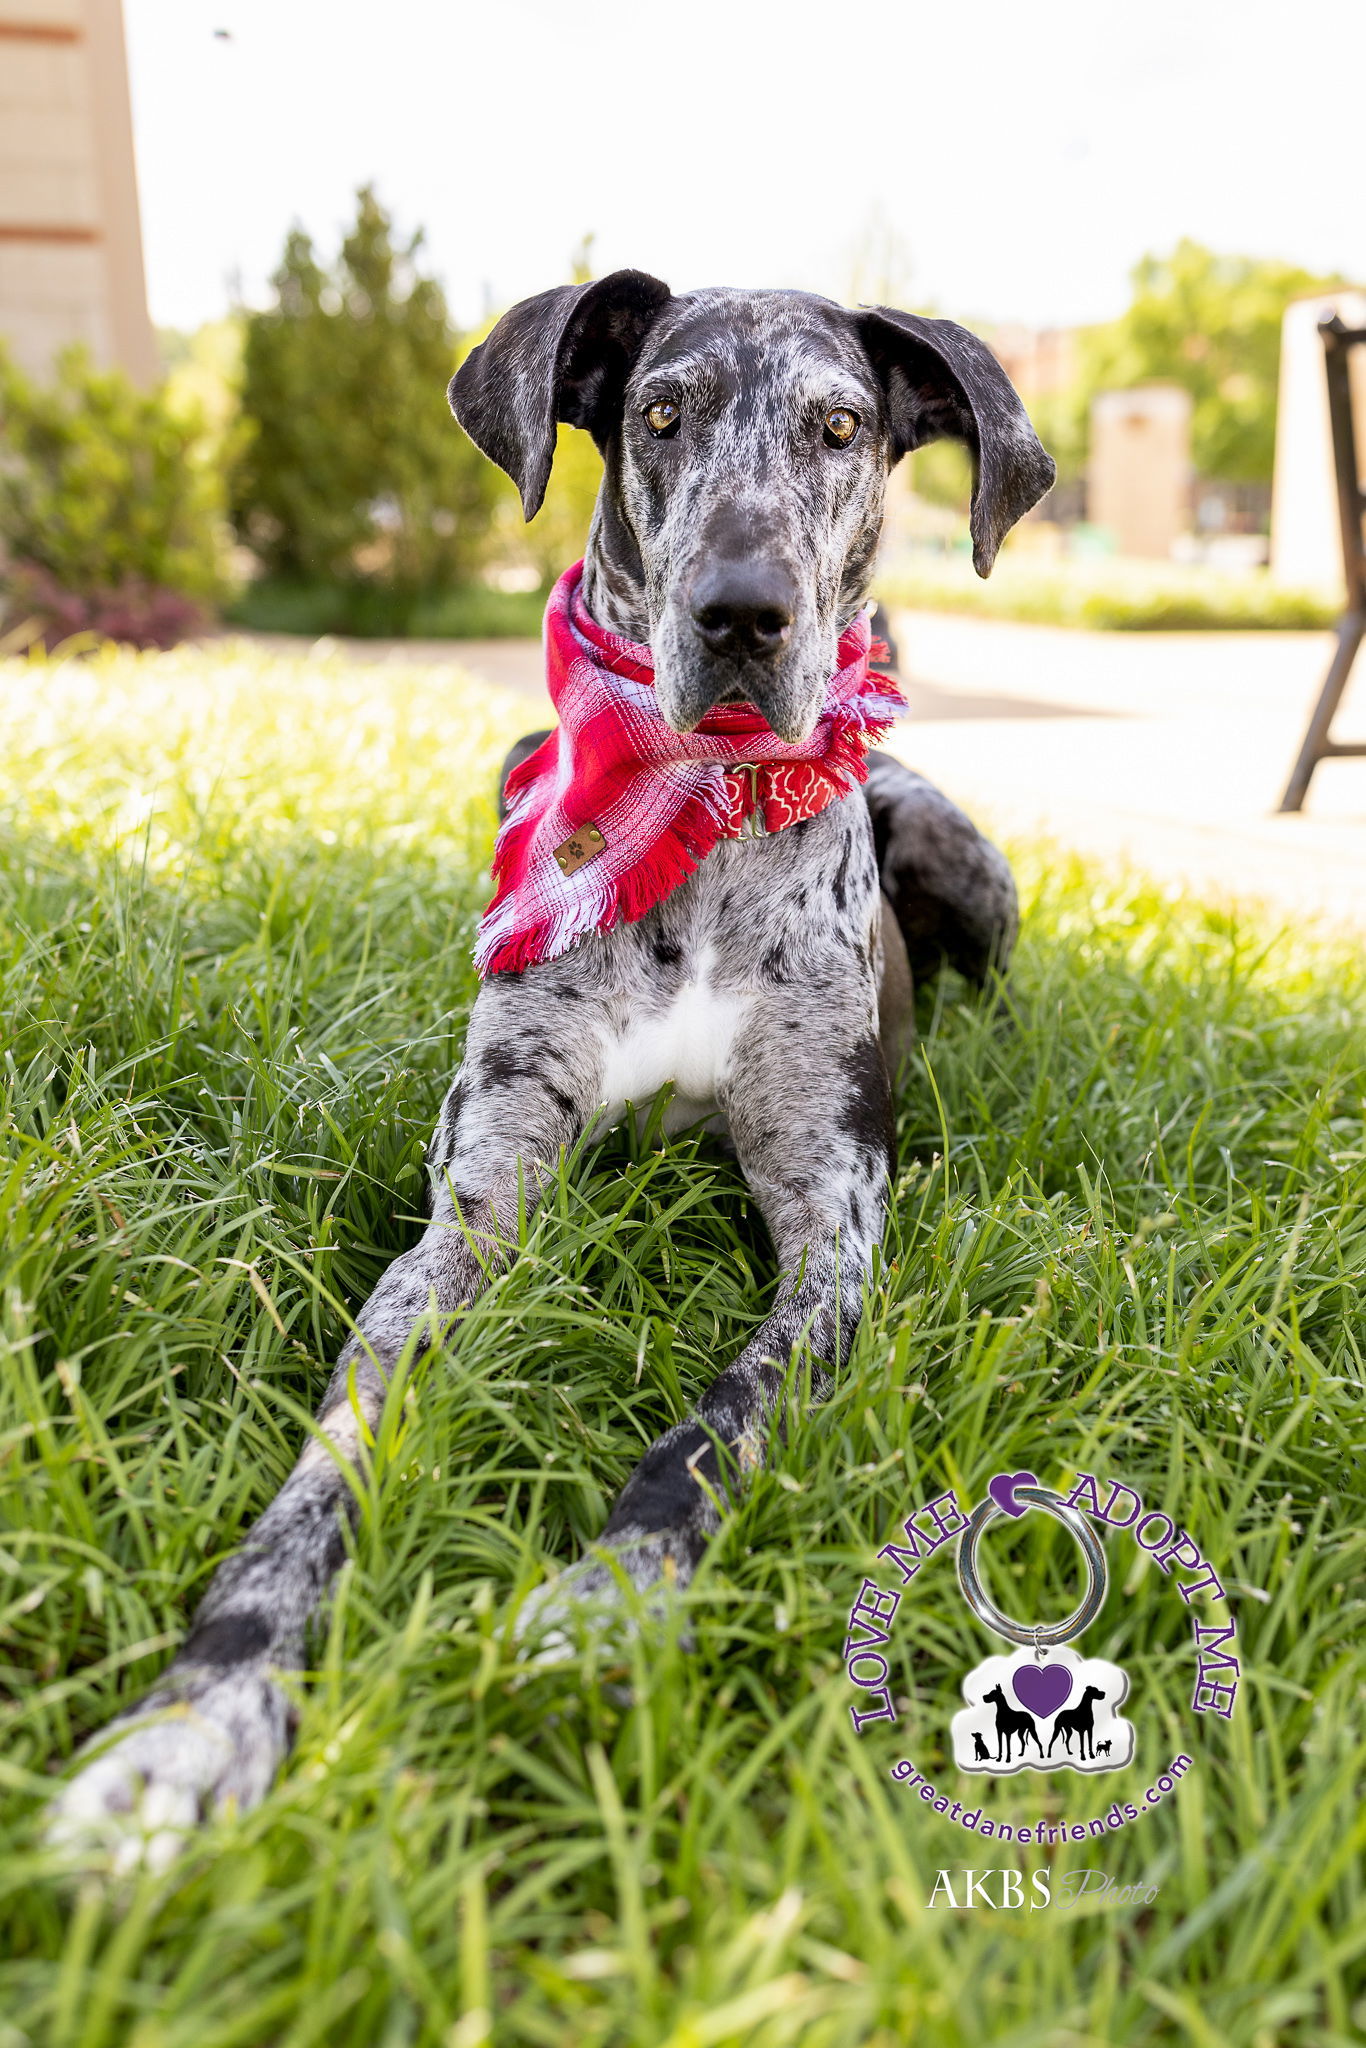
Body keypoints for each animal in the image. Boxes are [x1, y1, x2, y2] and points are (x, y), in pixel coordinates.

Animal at [50, 272, 1056, 1859]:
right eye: (661, 412)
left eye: (840, 425)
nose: (742, 612)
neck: (699, 811)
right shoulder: (479, 1203)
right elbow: (327, 1467)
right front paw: (193, 1724)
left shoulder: (832, 1238)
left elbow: (711, 1428)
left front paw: (606, 1594)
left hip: (959, 850)